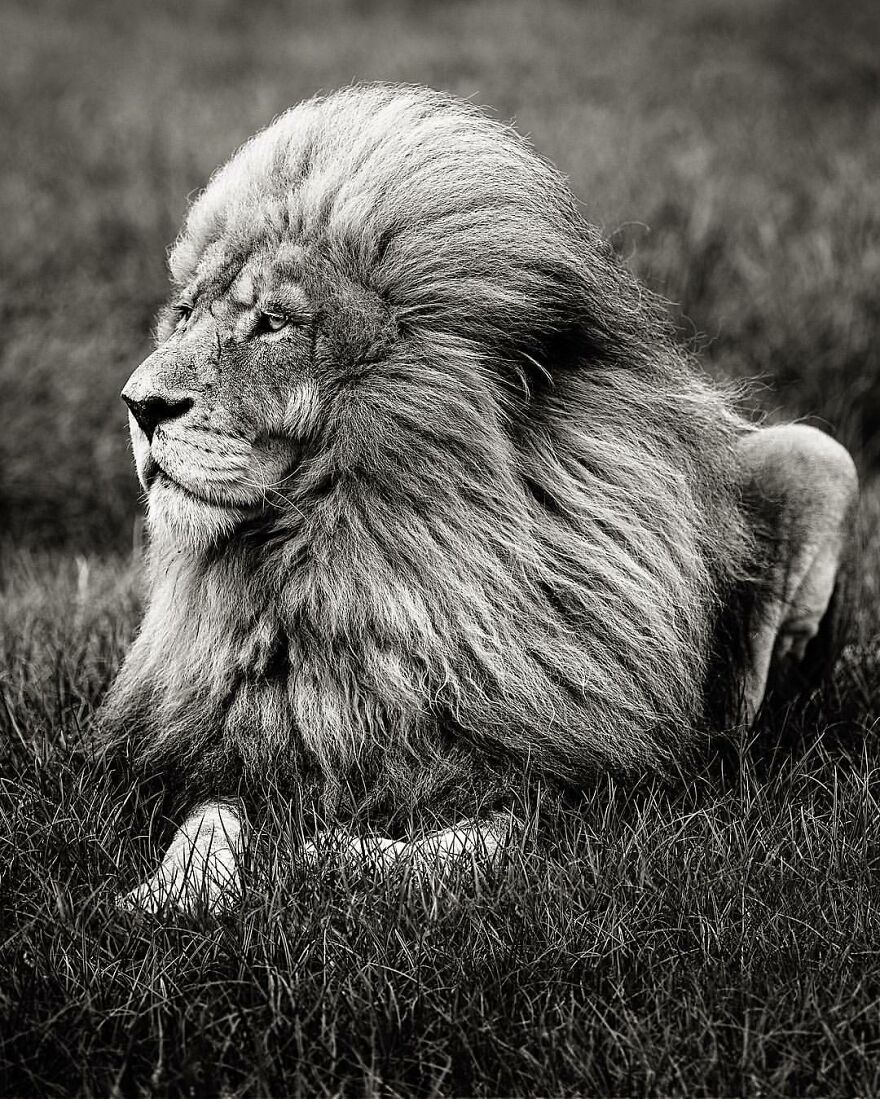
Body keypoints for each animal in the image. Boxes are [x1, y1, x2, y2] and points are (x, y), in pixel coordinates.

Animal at [99, 83, 857, 913]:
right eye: (185, 313)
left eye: (274, 322)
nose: (139, 405)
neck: (352, 570)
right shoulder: (239, 742)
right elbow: (209, 813)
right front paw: (172, 892)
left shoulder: (594, 789)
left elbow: (477, 843)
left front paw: (337, 856)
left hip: (822, 457)